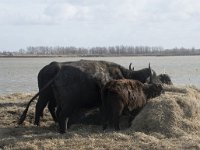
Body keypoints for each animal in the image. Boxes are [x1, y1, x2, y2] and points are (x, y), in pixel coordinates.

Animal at [18, 59, 156, 133]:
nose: (157, 87)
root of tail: (57, 74)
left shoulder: (102, 103)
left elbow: (105, 114)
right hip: (53, 98)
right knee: (43, 107)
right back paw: (50, 127)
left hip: (54, 98)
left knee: (52, 109)